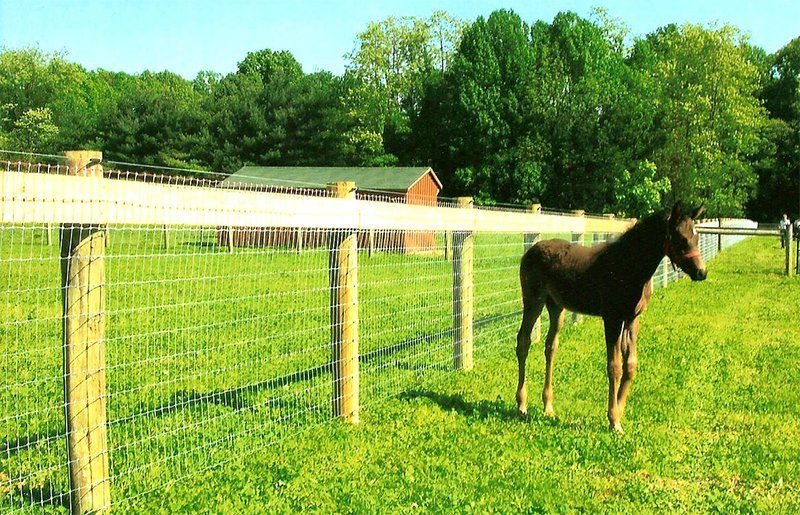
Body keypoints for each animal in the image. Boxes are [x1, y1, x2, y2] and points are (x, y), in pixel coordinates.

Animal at [515, 202, 707, 432]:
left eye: (696, 236)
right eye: (680, 237)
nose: (701, 272)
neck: (628, 267)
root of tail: (530, 250)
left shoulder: (632, 318)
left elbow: (630, 364)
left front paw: (621, 410)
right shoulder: (612, 318)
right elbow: (614, 366)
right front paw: (614, 419)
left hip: (556, 307)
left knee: (550, 346)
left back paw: (548, 406)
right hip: (533, 301)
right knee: (523, 341)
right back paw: (522, 405)